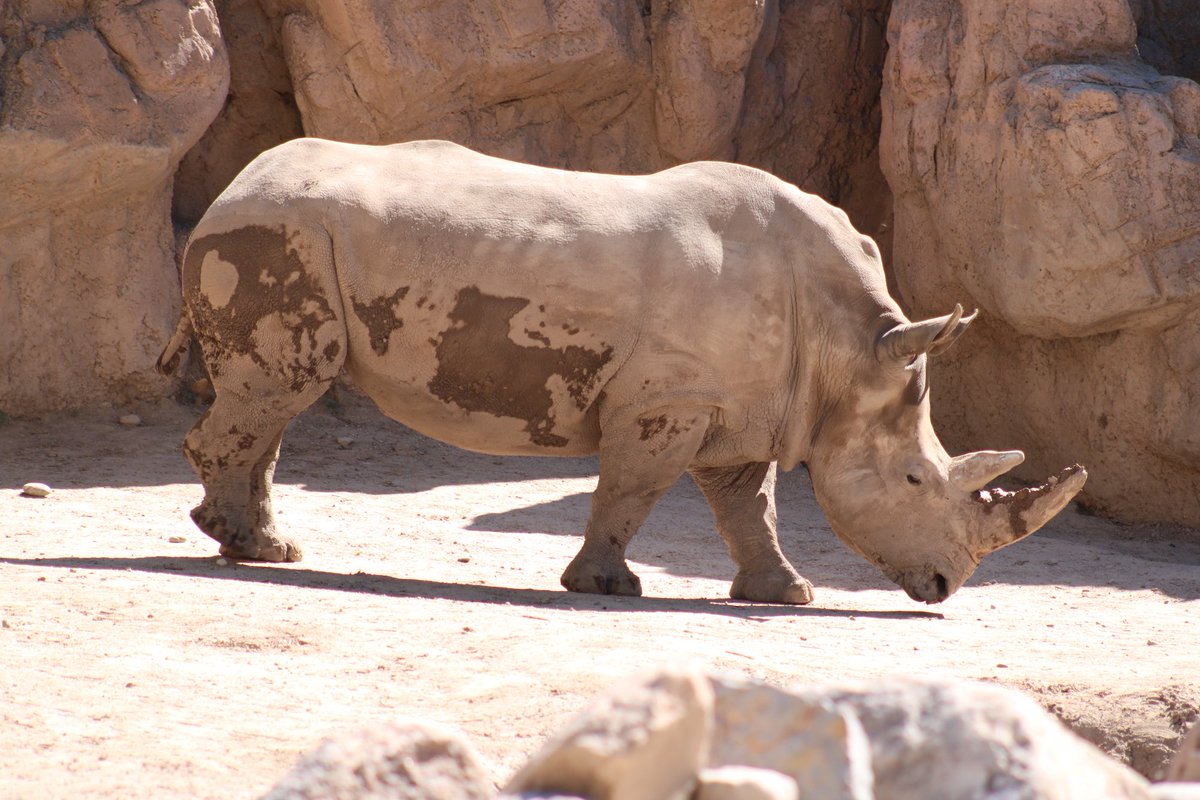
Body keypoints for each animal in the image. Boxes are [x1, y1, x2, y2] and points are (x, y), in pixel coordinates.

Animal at [157, 138, 1086, 605]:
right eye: (914, 480)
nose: (945, 586)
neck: (851, 351)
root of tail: (229, 186)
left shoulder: (741, 405)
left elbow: (748, 506)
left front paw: (785, 595)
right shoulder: (669, 399)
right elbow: (634, 488)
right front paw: (609, 587)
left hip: (288, 232)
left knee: (273, 399)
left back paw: (260, 548)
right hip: (279, 233)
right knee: (283, 386)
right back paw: (244, 543)